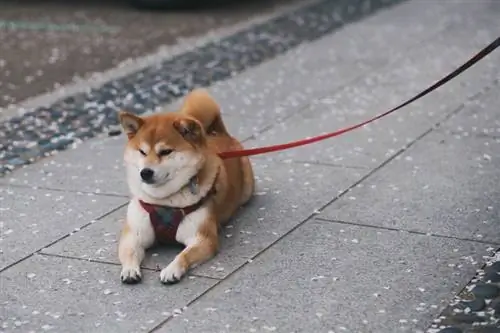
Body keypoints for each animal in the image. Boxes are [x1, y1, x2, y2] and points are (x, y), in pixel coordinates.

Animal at [116, 89, 254, 284]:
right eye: (142, 152)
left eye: (166, 152)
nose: (145, 172)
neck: (164, 202)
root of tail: (220, 134)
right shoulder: (134, 235)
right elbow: (129, 252)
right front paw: (129, 270)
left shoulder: (202, 238)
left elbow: (184, 255)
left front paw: (171, 269)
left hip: (247, 188)